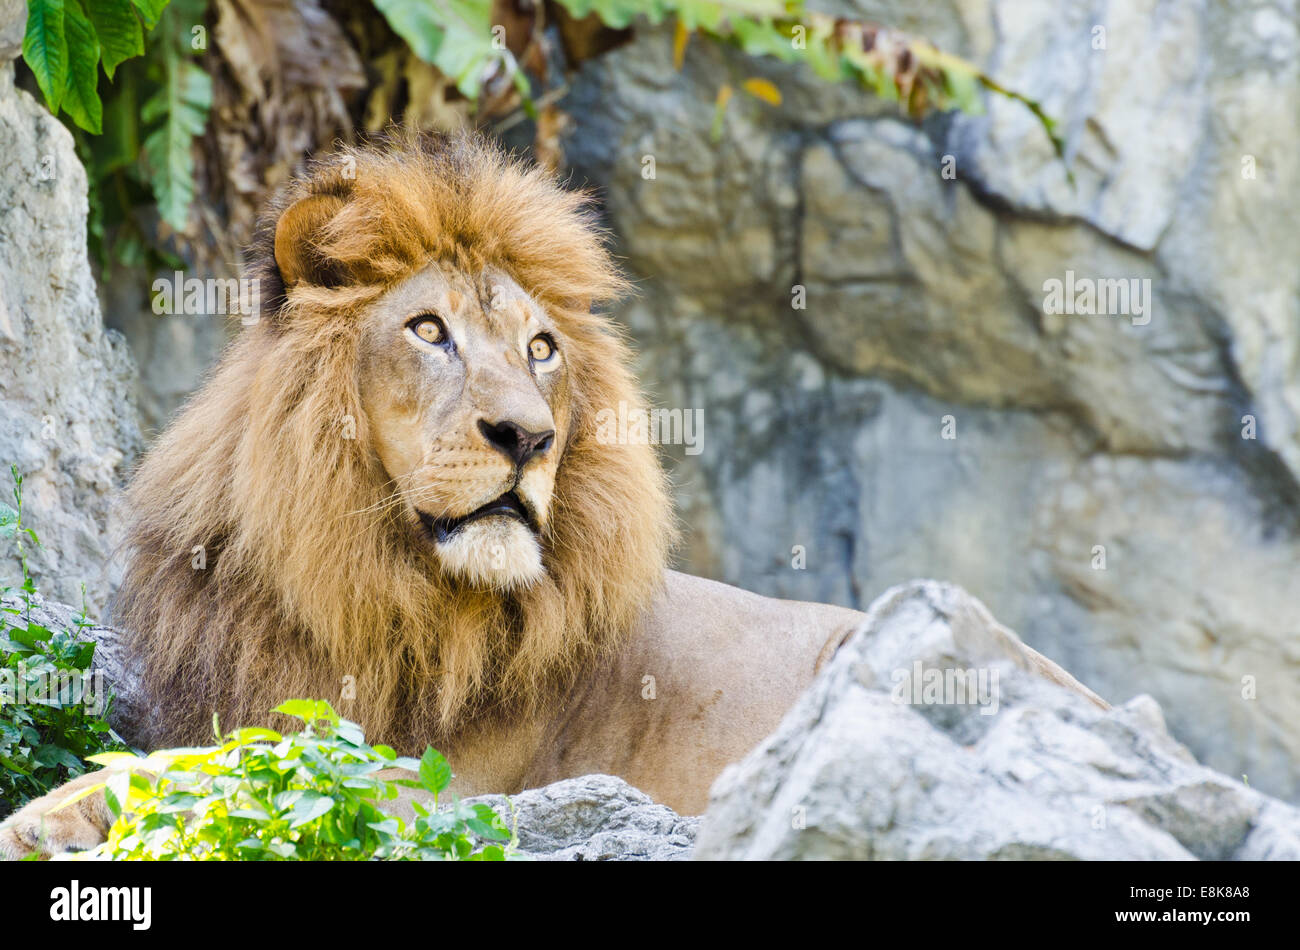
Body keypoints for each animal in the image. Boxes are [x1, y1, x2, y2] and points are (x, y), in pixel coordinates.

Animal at [0, 129, 1102, 857]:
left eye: (540, 348)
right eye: (429, 331)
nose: (527, 436)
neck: (350, 581)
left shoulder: (432, 787)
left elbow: (222, 772)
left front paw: (47, 815)